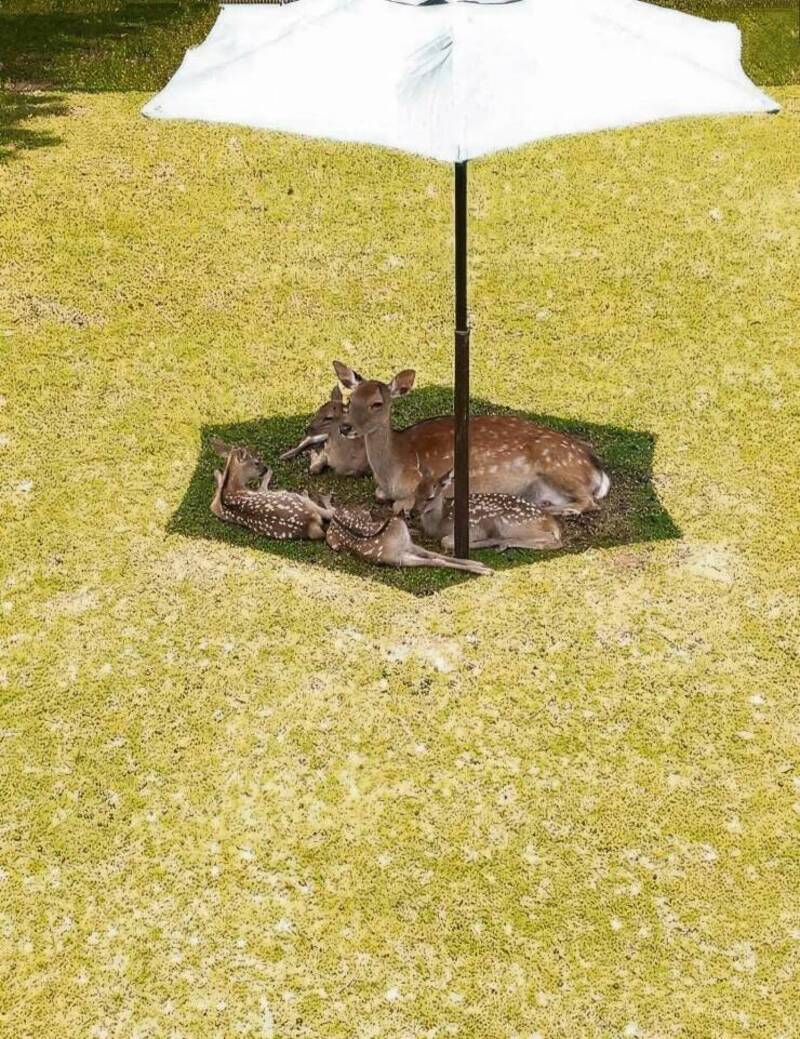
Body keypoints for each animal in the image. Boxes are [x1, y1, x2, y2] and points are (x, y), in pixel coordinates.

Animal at [326, 506, 493, 575]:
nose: (413, 515)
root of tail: (333, 516)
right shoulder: (400, 559)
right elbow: (437, 561)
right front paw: (484, 570)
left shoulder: (410, 546)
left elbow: (435, 554)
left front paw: (478, 564)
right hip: (335, 544)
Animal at [333, 361, 611, 516]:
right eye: (351, 398)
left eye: (377, 403)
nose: (345, 427)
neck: (394, 470)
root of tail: (596, 469)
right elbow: (380, 496)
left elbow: (398, 505)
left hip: (556, 463)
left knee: (590, 501)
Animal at [414, 468, 562, 553]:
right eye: (415, 492)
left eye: (430, 497)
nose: (412, 513)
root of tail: (549, 520)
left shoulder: (471, 529)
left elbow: (445, 541)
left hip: (508, 523)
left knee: (553, 540)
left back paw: (501, 543)